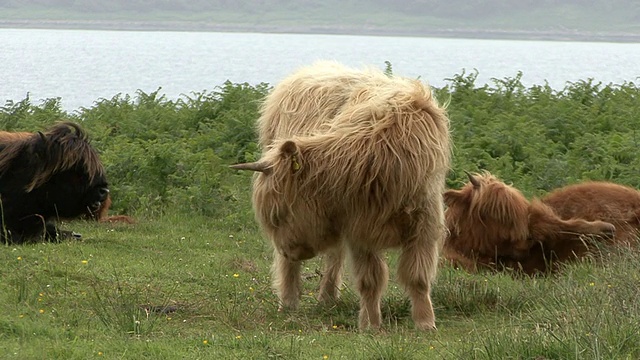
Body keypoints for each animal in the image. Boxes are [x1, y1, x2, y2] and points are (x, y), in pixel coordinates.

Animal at [230, 60, 450, 330]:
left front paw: (425, 323)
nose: (286, 250)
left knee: (334, 254)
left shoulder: (425, 223)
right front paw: (371, 325)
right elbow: (370, 280)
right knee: (300, 265)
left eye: (280, 214)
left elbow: (417, 277)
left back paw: (327, 297)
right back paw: (289, 302)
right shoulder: (361, 228)